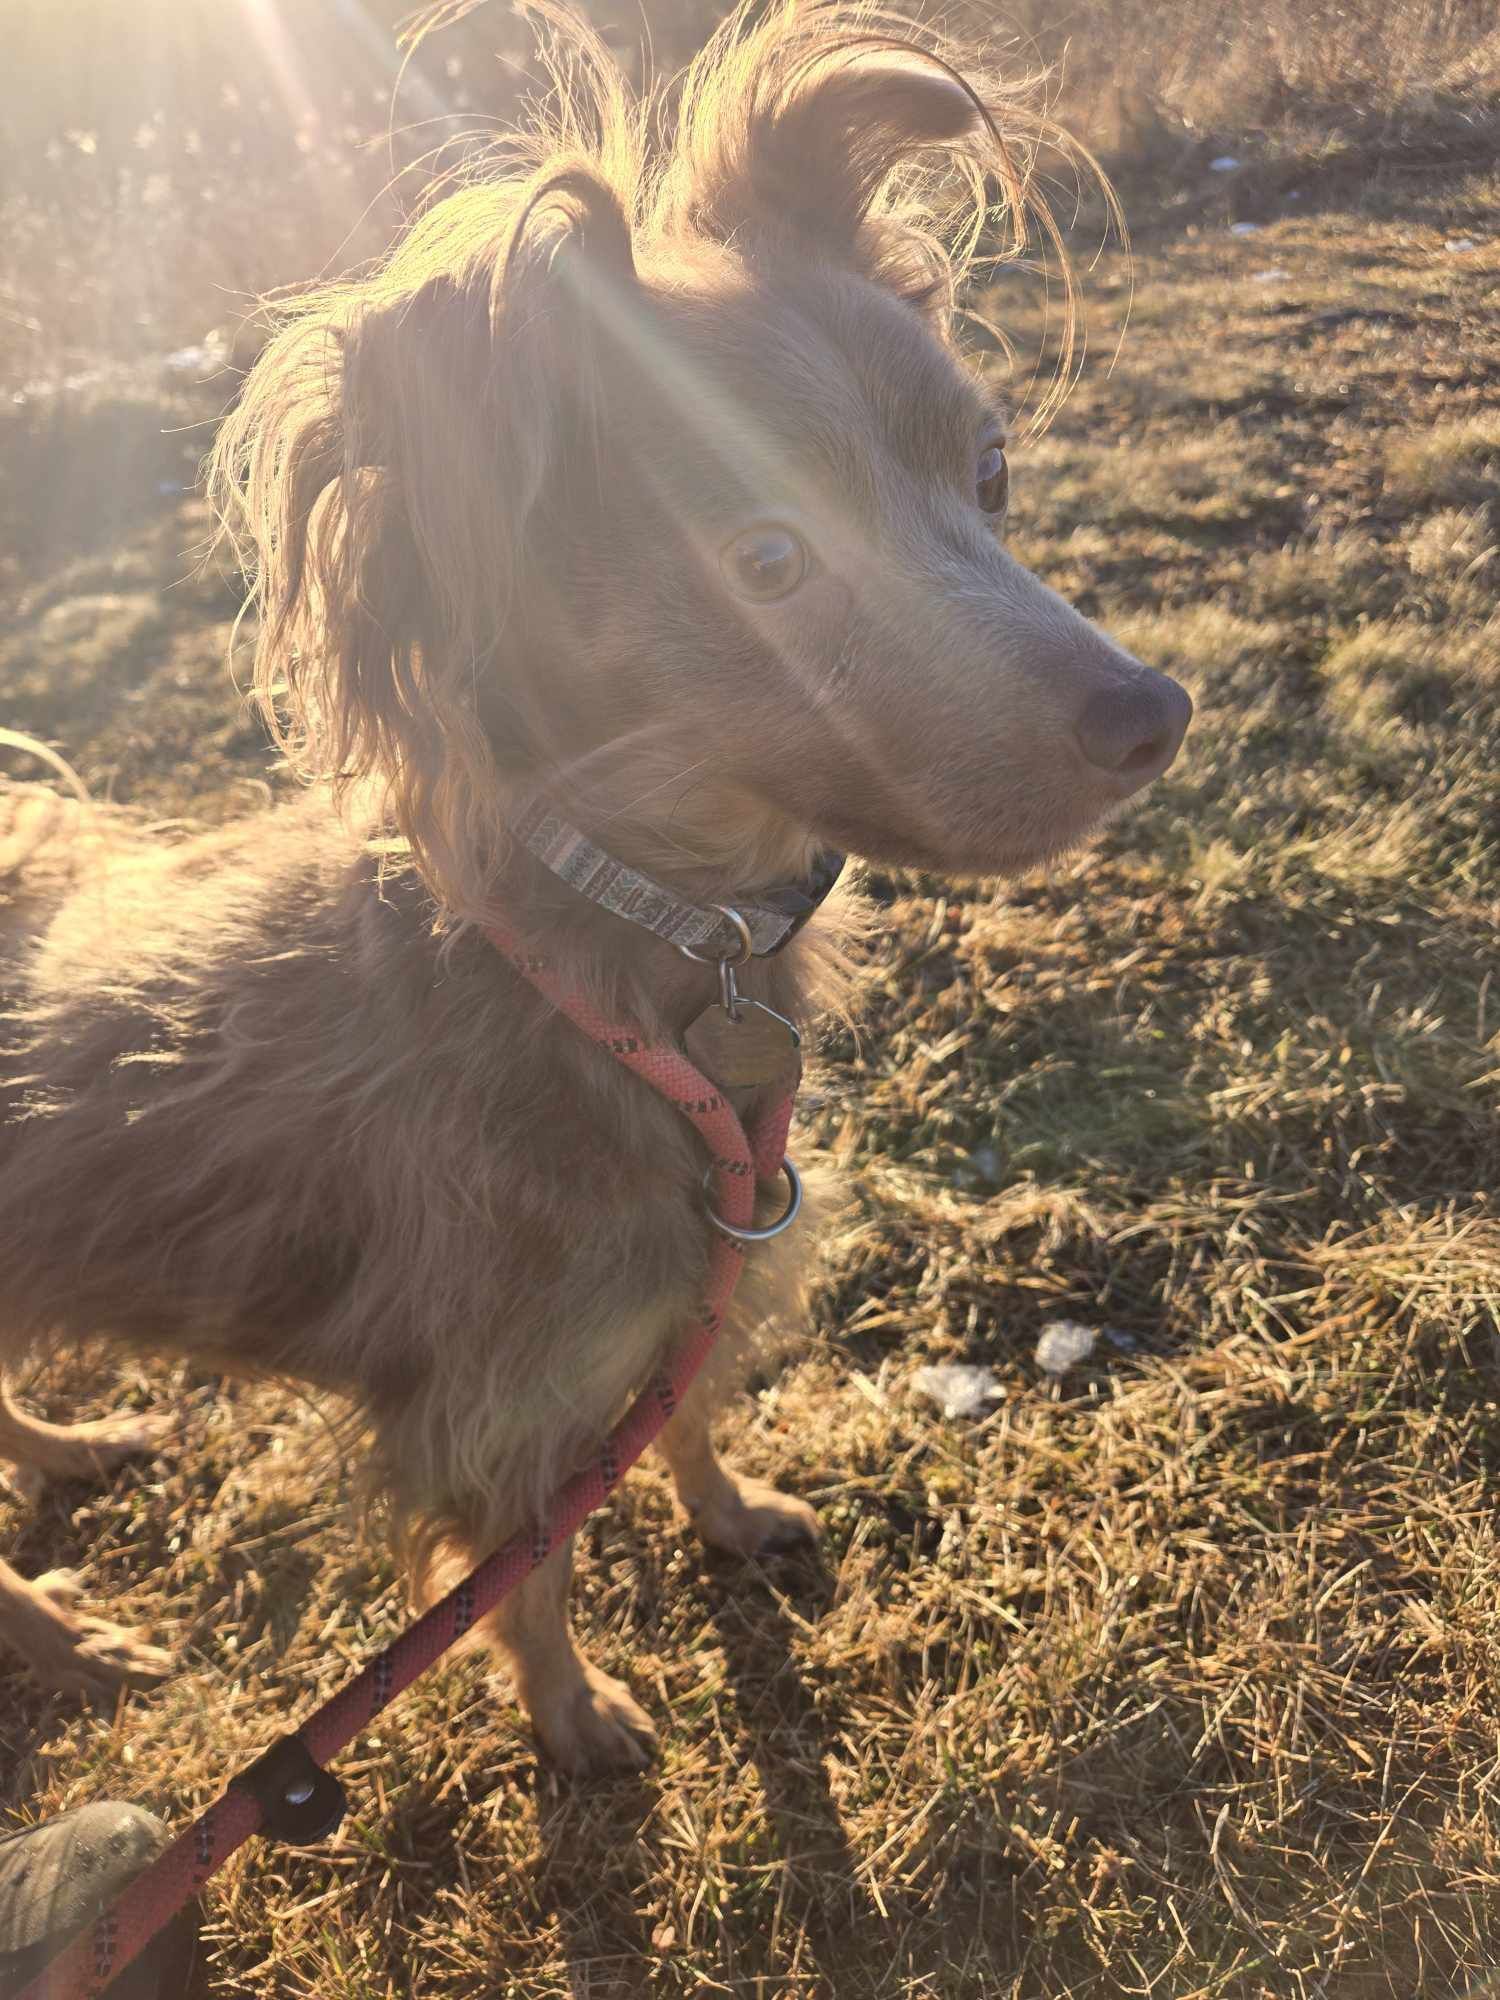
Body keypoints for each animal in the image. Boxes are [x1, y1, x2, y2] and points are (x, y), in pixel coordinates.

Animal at [2, 7, 1200, 1776]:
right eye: (764, 563)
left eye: (992, 474)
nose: (1155, 716)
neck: (632, 954)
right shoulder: (495, 1403)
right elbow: (536, 1580)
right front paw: (575, 1721)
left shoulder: (697, 1277)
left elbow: (685, 1421)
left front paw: (732, 1516)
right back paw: (62, 1630)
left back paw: (66, 1452)